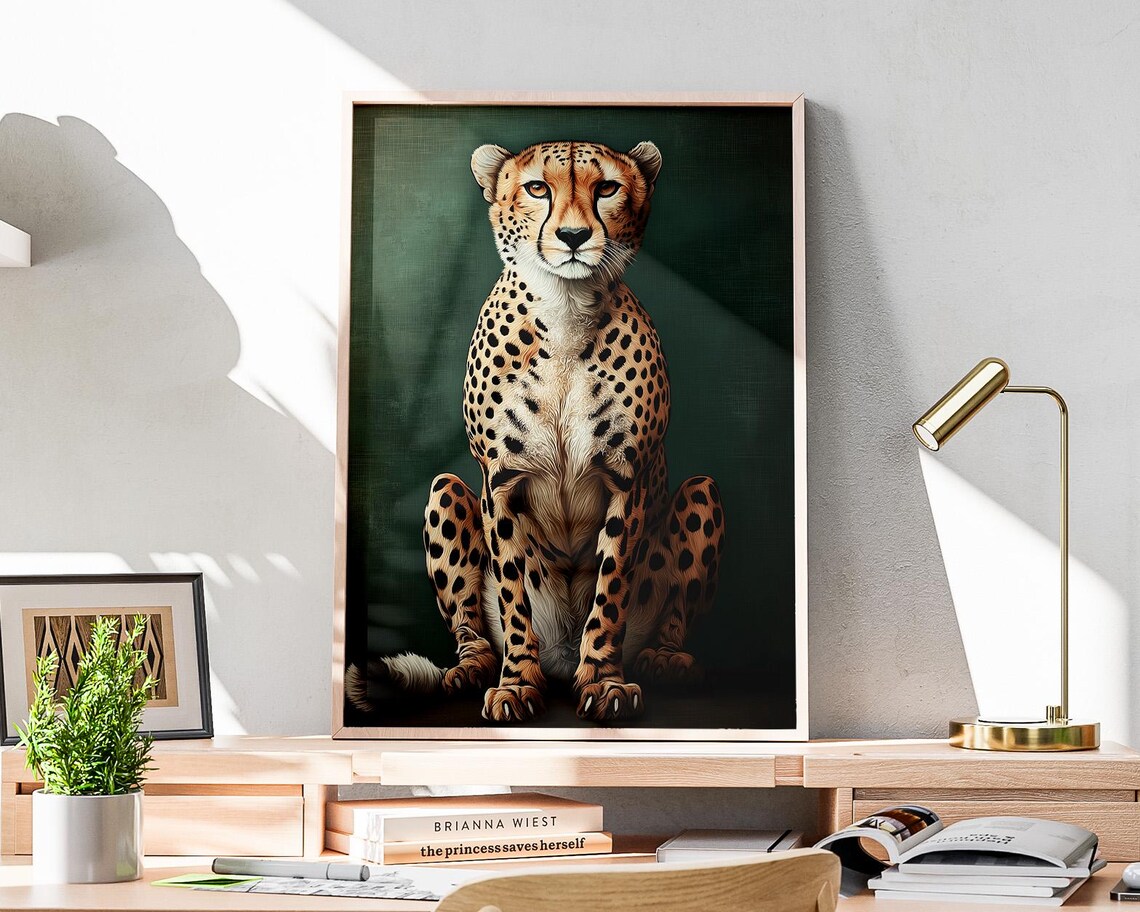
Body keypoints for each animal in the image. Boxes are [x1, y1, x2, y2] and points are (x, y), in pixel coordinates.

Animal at [353, 140, 725, 724]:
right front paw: (516, 683)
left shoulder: (628, 479)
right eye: (537, 188)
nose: (573, 236)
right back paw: (473, 669)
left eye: (607, 188)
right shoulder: (501, 480)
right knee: (472, 625)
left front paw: (603, 680)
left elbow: (611, 587)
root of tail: (560, 657)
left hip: (702, 492)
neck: (566, 309)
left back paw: (665, 659)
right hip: (445, 490)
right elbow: (512, 589)